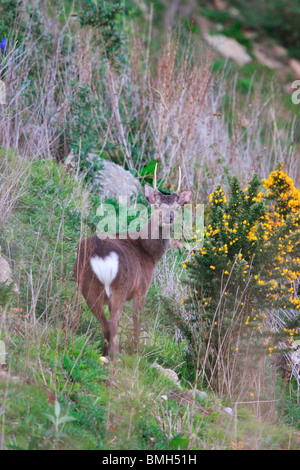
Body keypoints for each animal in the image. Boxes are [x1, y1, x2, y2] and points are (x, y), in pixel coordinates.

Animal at [74, 165, 193, 356]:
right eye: (156, 205)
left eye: (176, 207)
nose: (169, 218)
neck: (148, 253)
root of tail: (101, 255)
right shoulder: (142, 287)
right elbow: (138, 322)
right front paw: (136, 351)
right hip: (120, 287)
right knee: (113, 322)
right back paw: (116, 357)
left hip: (87, 285)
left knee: (105, 324)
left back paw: (106, 354)